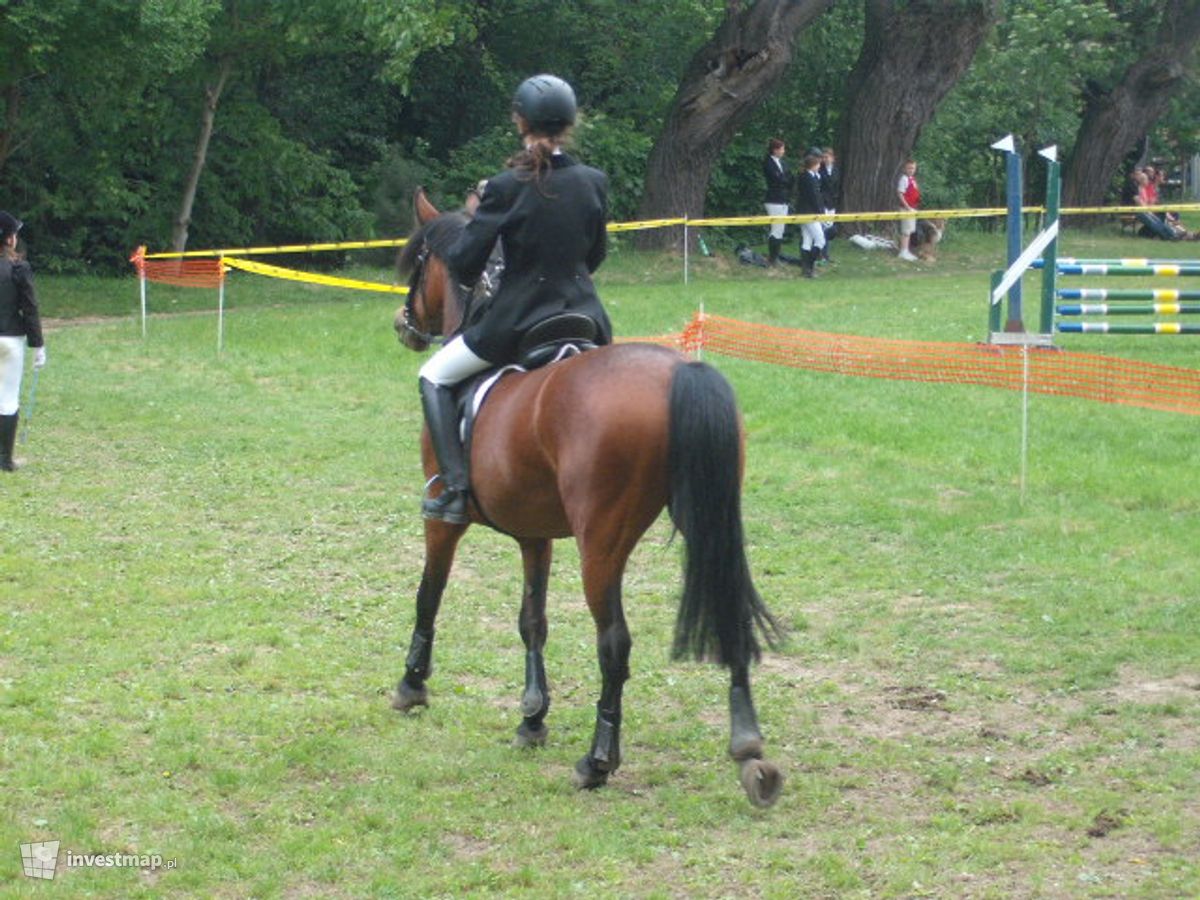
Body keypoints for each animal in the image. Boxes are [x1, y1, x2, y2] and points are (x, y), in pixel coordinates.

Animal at [393, 190, 787, 811]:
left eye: (419, 263)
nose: (404, 325)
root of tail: (681, 373)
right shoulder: (534, 533)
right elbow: (532, 621)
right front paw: (532, 719)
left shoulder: (445, 524)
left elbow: (427, 596)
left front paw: (411, 685)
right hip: (708, 523)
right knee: (728, 614)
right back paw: (749, 752)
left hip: (601, 544)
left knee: (614, 644)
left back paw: (597, 762)